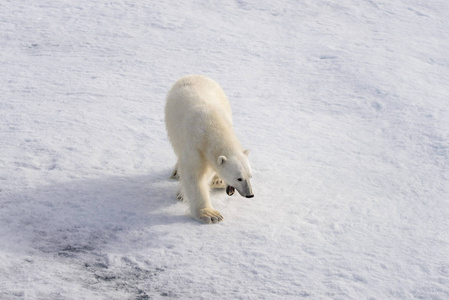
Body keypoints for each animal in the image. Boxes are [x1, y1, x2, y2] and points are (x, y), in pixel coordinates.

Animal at [164, 74, 254, 224]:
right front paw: (210, 214)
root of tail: (193, 75)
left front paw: (218, 181)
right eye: (239, 178)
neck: (212, 126)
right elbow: (195, 176)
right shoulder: (194, 146)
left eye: (250, 176)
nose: (250, 195)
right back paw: (176, 173)